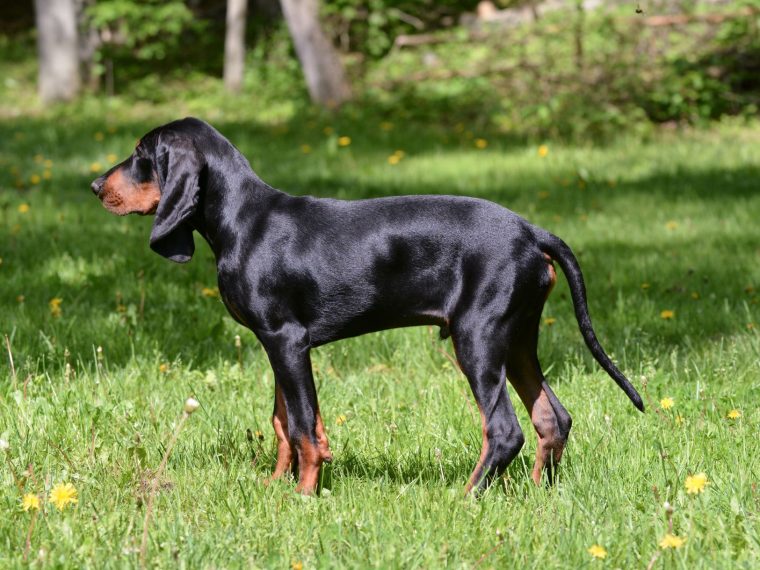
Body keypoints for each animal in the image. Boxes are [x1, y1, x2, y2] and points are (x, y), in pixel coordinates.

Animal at [92, 116, 644, 492]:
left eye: (142, 153)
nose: (96, 186)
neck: (244, 220)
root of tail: (532, 231)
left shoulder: (287, 339)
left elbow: (303, 426)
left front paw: (303, 495)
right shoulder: (276, 344)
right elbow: (284, 423)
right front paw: (275, 487)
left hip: (479, 338)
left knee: (504, 430)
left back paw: (465, 497)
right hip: (519, 337)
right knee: (553, 419)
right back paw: (534, 494)